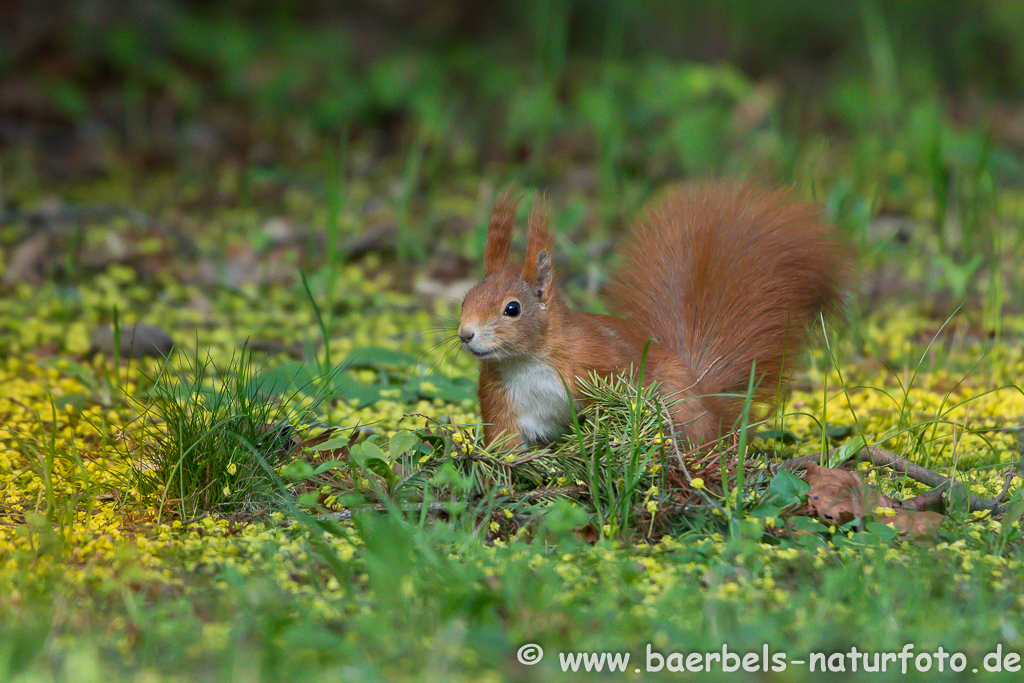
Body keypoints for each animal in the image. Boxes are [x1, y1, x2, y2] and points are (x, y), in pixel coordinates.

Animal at [460, 181, 851, 448]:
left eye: (512, 309)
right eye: (466, 299)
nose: (465, 334)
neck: (528, 360)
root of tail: (712, 416)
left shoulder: (599, 362)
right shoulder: (501, 399)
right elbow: (506, 442)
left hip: (677, 403)